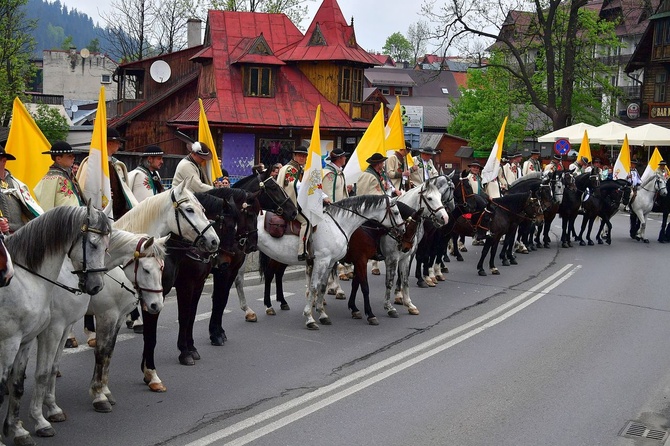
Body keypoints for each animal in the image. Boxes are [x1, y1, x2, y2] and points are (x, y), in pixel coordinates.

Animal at [0, 206, 110, 446]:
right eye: (93, 244)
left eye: (108, 247)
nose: (97, 286)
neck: (27, 280)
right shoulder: (25, 338)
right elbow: (40, 373)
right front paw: (39, 419)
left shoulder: (36, 337)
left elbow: (26, 380)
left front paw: (23, 427)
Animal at [27, 232, 167, 434]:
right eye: (146, 270)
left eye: (162, 268)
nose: (157, 305)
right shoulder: (106, 315)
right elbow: (101, 352)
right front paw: (99, 396)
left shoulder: (118, 316)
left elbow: (109, 352)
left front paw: (104, 391)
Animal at [113, 179, 220, 392]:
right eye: (189, 209)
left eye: (203, 209)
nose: (214, 241)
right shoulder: (161, 294)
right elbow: (154, 333)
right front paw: (152, 373)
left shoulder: (157, 296)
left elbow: (154, 334)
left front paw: (148, 372)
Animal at [256, 194, 404, 328]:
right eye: (396, 212)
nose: (402, 230)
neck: (337, 224)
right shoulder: (326, 261)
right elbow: (315, 286)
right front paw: (309, 318)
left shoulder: (331, 262)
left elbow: (324, 286)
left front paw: (324, 314)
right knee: (269, 275)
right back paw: (268, 306)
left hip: (279, 257)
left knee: (276, 274)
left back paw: (280, 302)